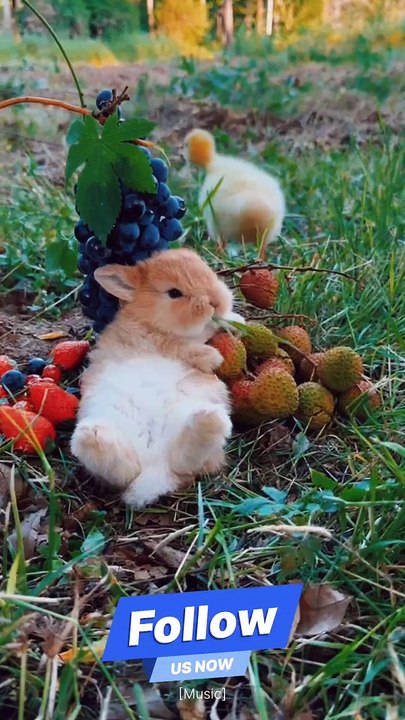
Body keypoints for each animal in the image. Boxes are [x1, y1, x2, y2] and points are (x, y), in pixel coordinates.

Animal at [70, 248, 245, 508]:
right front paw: (213, 357)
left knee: (181, 463)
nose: (215, 302)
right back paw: (95, 436)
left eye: (209, 272)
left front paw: (237, 322)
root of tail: (153, 474)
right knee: (123, 473)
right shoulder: (154, 338)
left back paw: (206, 420)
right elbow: (180, 346)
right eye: (174, 293)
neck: (148, 320)